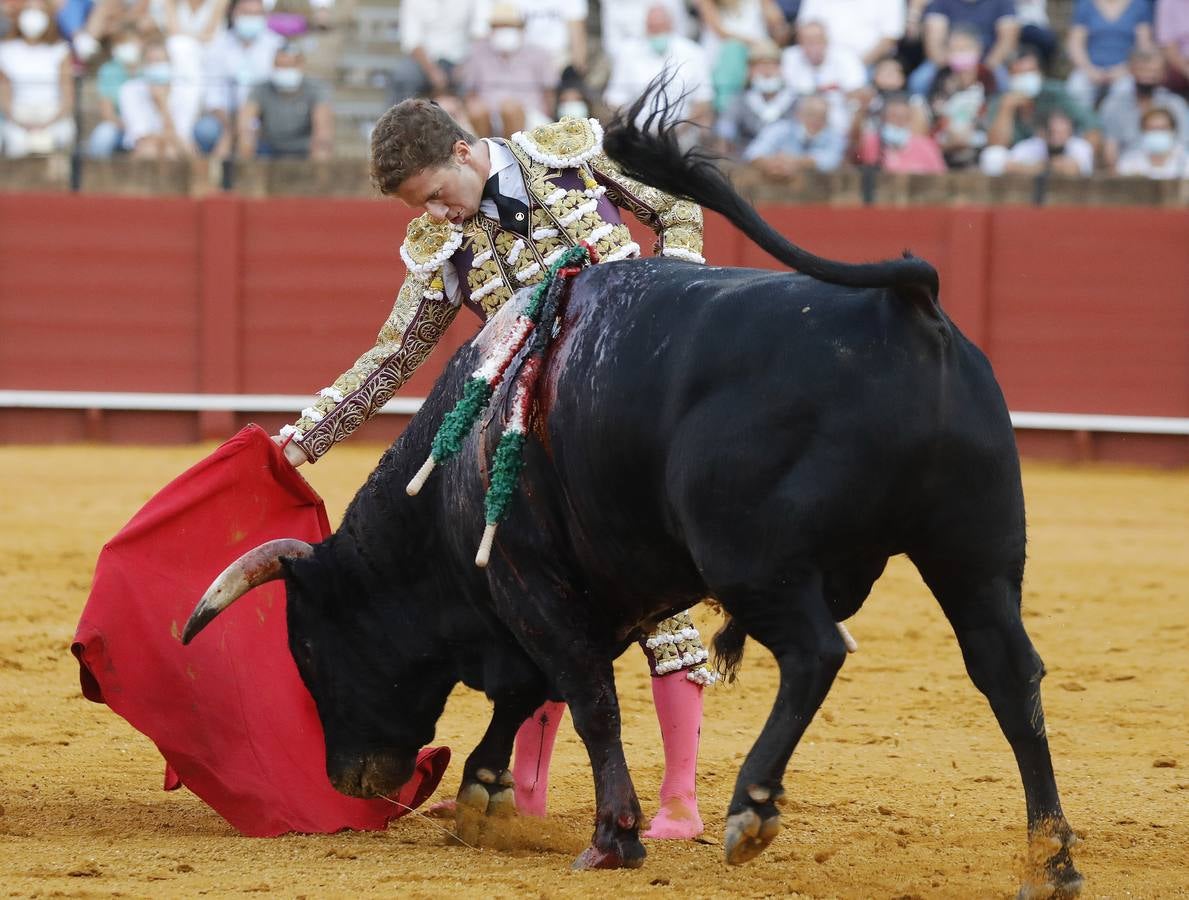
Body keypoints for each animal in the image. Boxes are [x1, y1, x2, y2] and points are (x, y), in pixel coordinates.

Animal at [180, 124, 1084, 894]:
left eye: (308, 647)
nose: (347, 781)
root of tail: (906, 307)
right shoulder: (569, 594)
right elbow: (532, 694)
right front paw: (484, 795)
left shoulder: (528, 583)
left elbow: (586, 697)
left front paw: (610, 837)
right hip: (973, 550)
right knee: (1008, 673)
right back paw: (1050, 860)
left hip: (756, 561)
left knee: (814, 653)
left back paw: (746, 812)